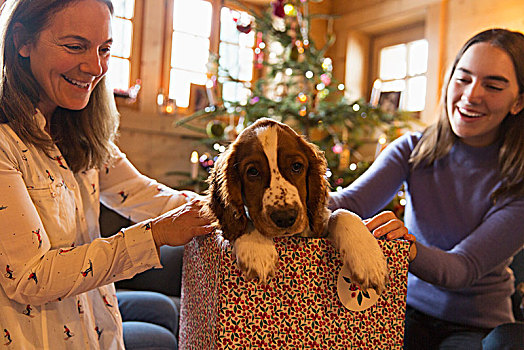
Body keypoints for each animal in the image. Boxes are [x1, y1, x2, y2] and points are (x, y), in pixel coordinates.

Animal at [203, 117, 386, 292]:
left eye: (296, 166)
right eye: (252, 172)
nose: (285, 217)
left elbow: (341, 212)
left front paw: (369, 262)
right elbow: (242, 218)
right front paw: (257, 252)